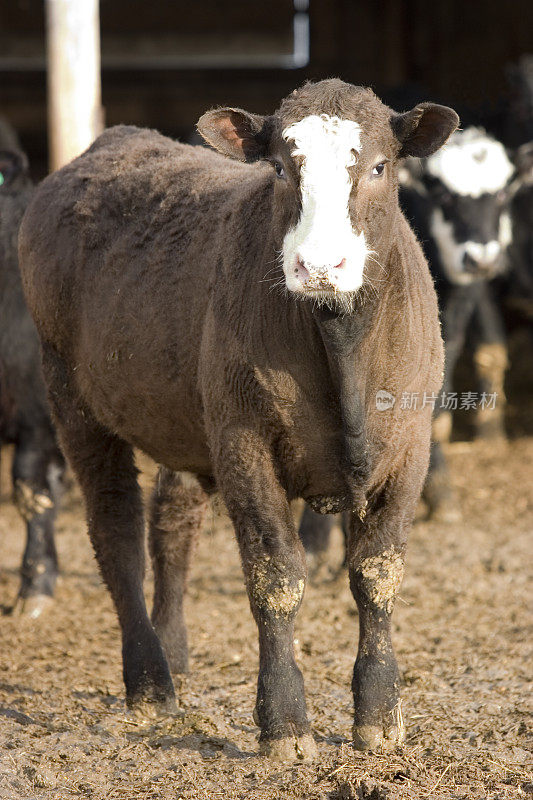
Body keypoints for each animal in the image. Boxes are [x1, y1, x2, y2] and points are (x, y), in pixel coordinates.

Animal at [18, 81, 456, 764]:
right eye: (278, 167)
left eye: (380, 166)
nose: (319, 266)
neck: (340, 344)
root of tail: (109, 143)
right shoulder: (244, 442)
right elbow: (276, 577)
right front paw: (285, 724)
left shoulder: (409, 448)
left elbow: (377, 574)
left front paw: (380, 716)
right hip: (71, 397)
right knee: (116, 532)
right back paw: (150, 684)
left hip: (182, 420)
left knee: (171, 524)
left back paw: (173, 657)